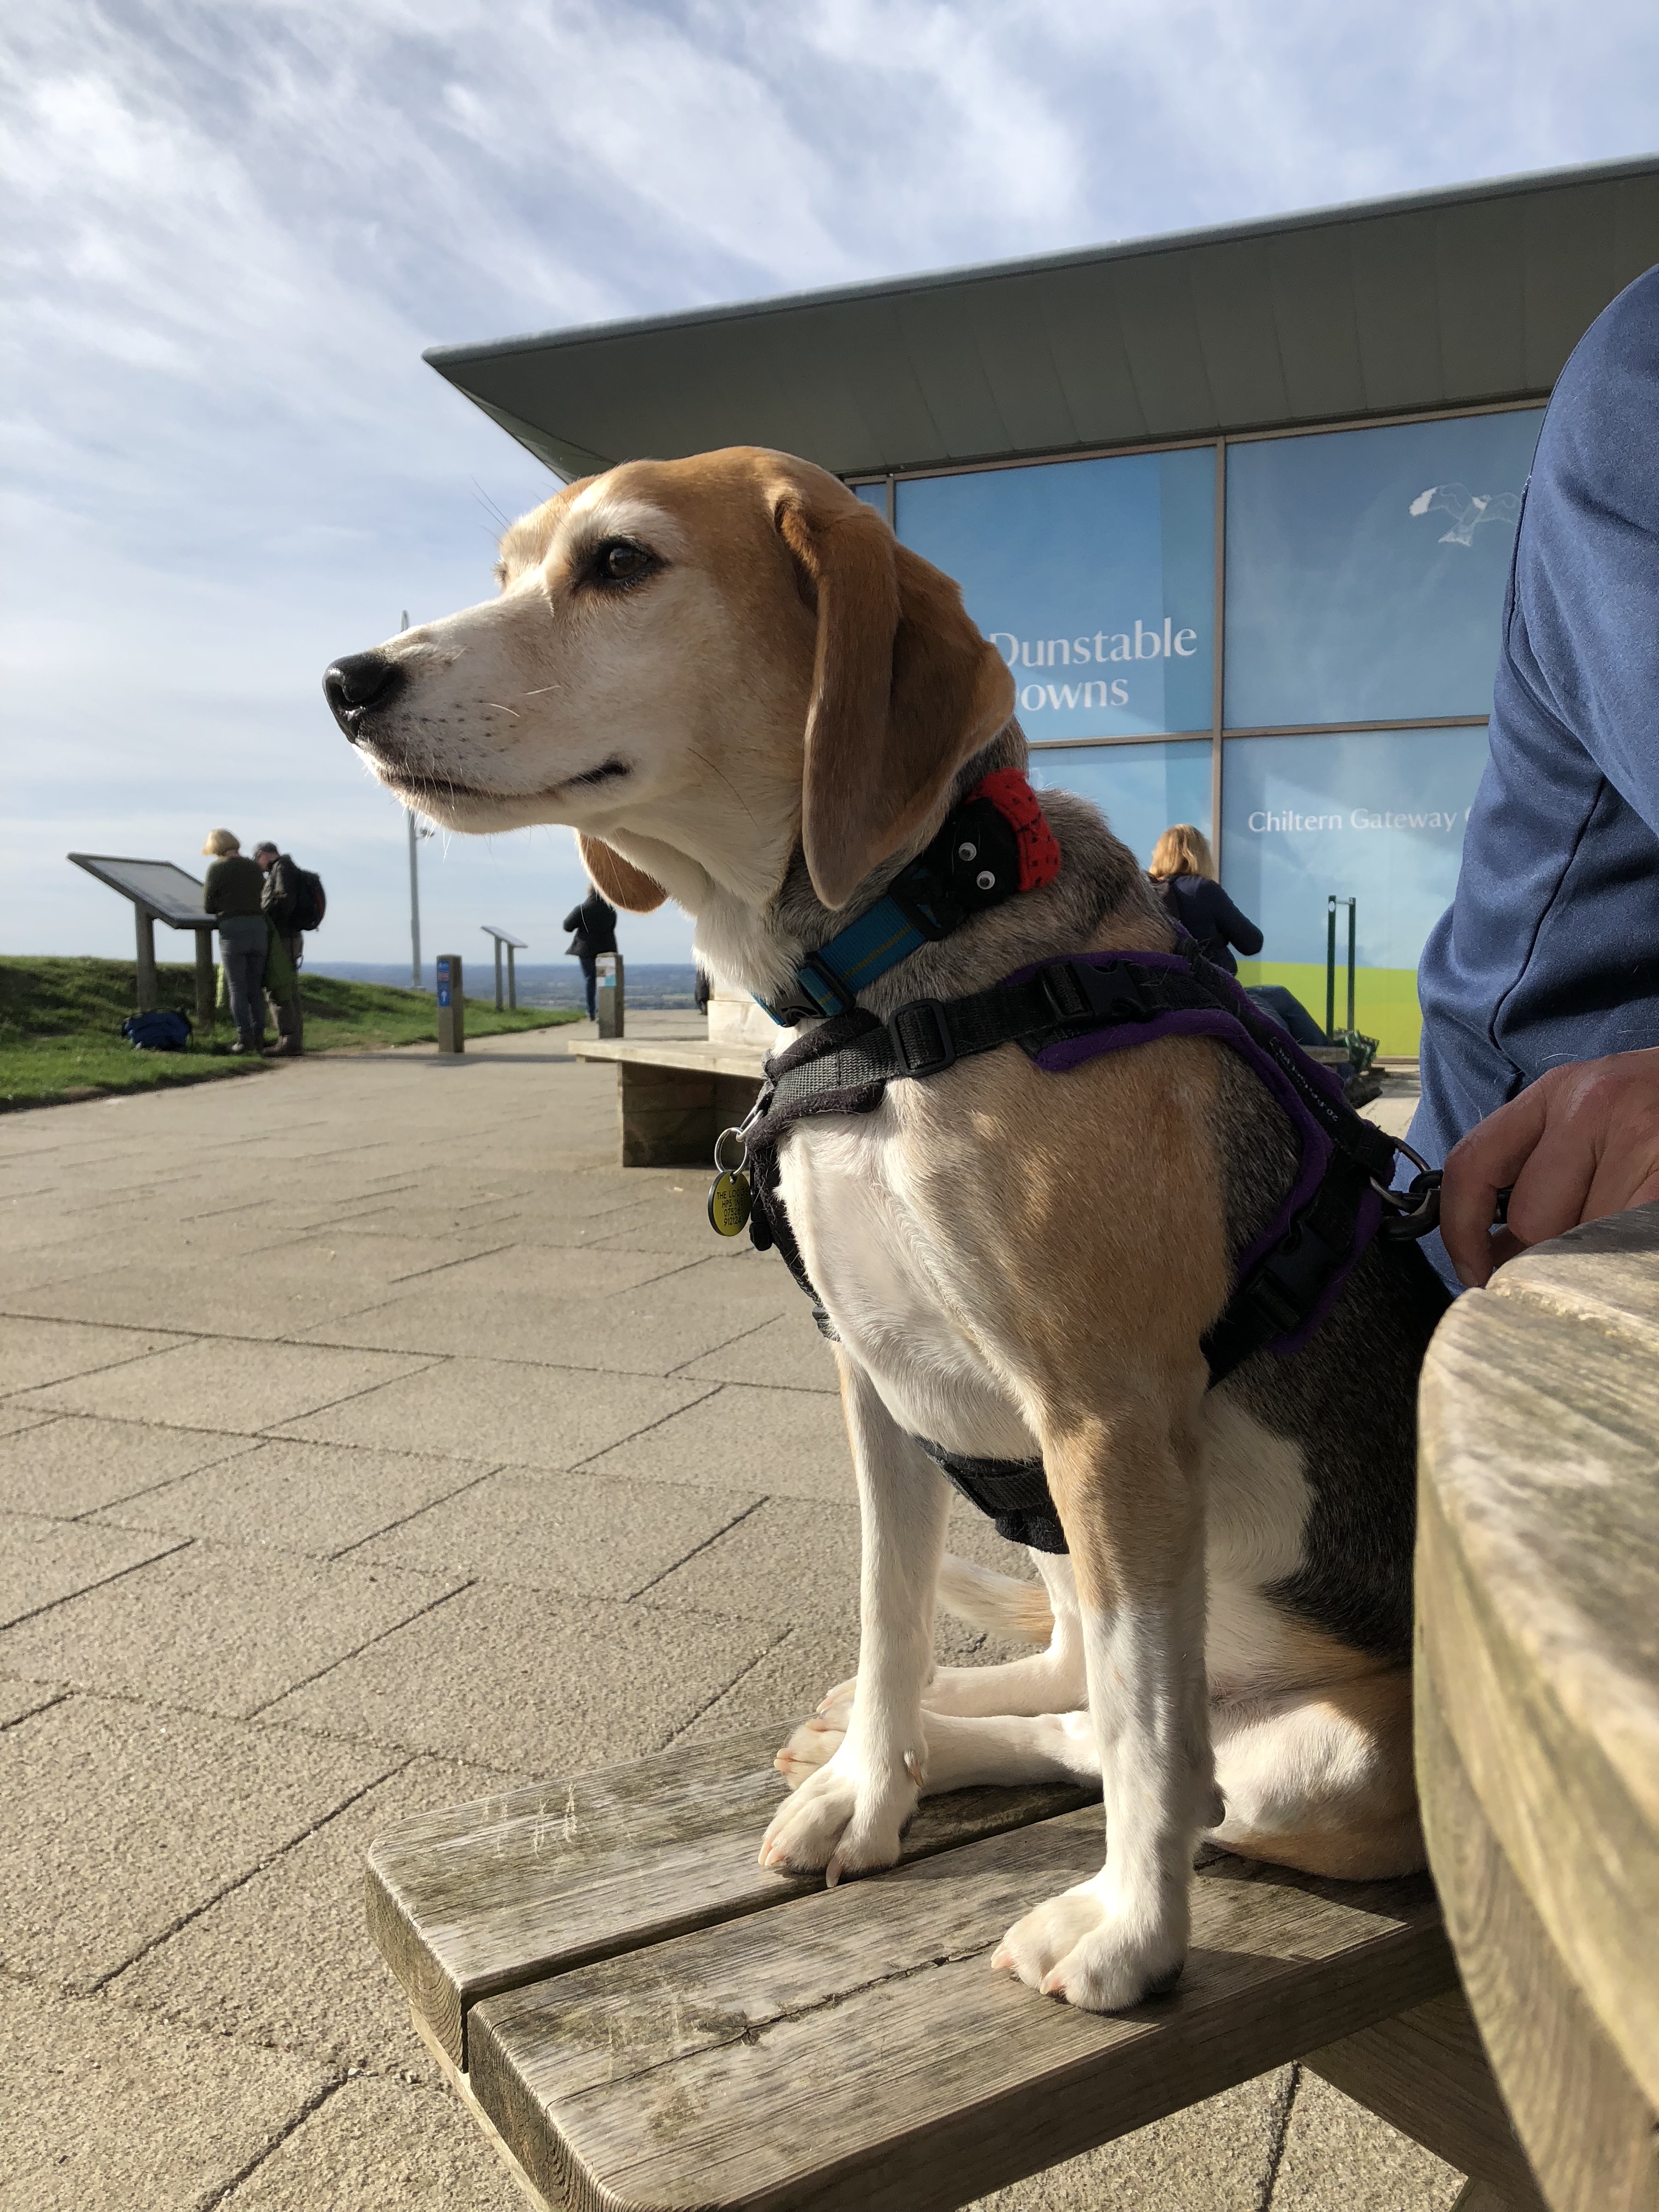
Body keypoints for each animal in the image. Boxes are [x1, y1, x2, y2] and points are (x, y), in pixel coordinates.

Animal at [324, 448, 1440, 2012]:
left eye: (619, 565)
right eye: (504, 572)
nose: (347, 681)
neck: (897, 974)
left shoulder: (1110, 1415)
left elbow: (1150, 1742)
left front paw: (1132, 1935)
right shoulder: (877, 1378)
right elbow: (890, 1606)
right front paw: (872, 1786)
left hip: (1331, 1745)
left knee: (1178, 1751)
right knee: (1079, 1700)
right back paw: (915, 1734)